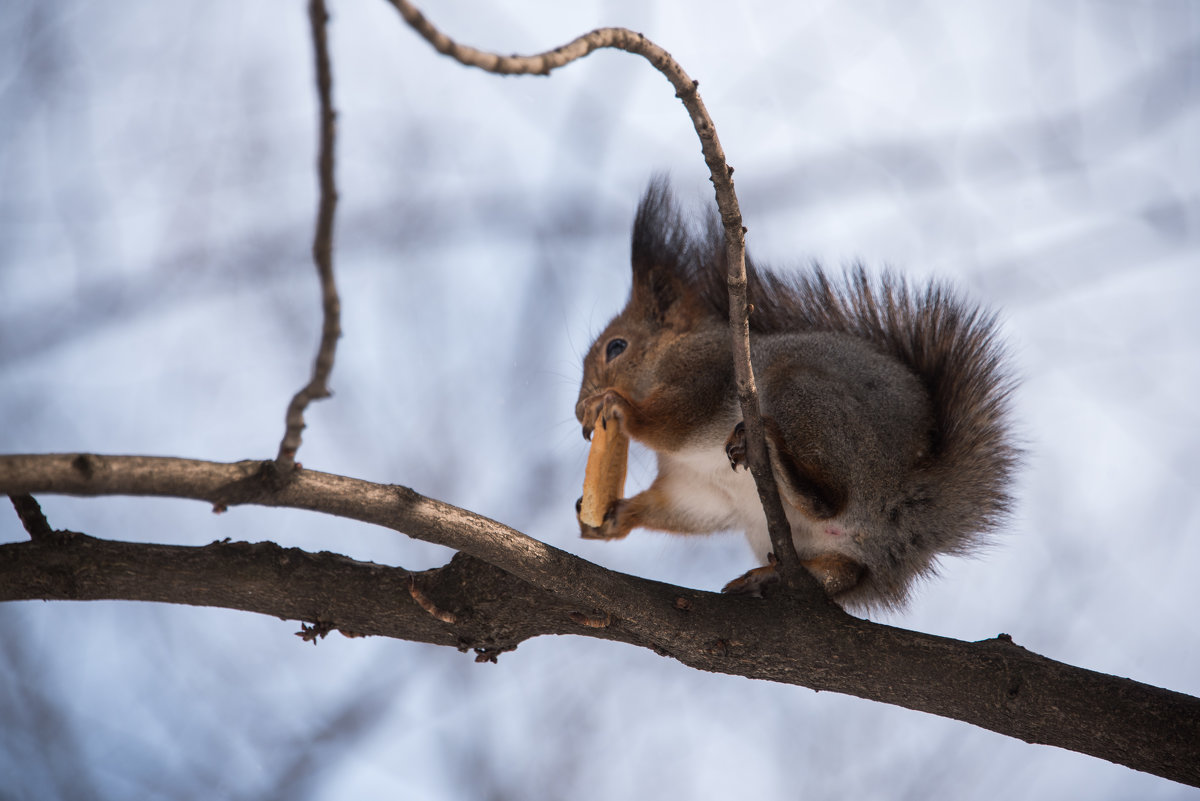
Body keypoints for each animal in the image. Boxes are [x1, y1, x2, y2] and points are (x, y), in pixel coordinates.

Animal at [576, 179, 1017, 606]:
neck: (671, 351)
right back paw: (773, 575)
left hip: (805, 398)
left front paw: (617, 406)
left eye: (616, 347)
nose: (580, 411)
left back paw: (778, 460)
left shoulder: (706, 374)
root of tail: (912, 501)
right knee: (845, 570)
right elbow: (682, 506)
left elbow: (672, 420)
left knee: (827, 501)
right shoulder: (697, 487)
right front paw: (615, 516)